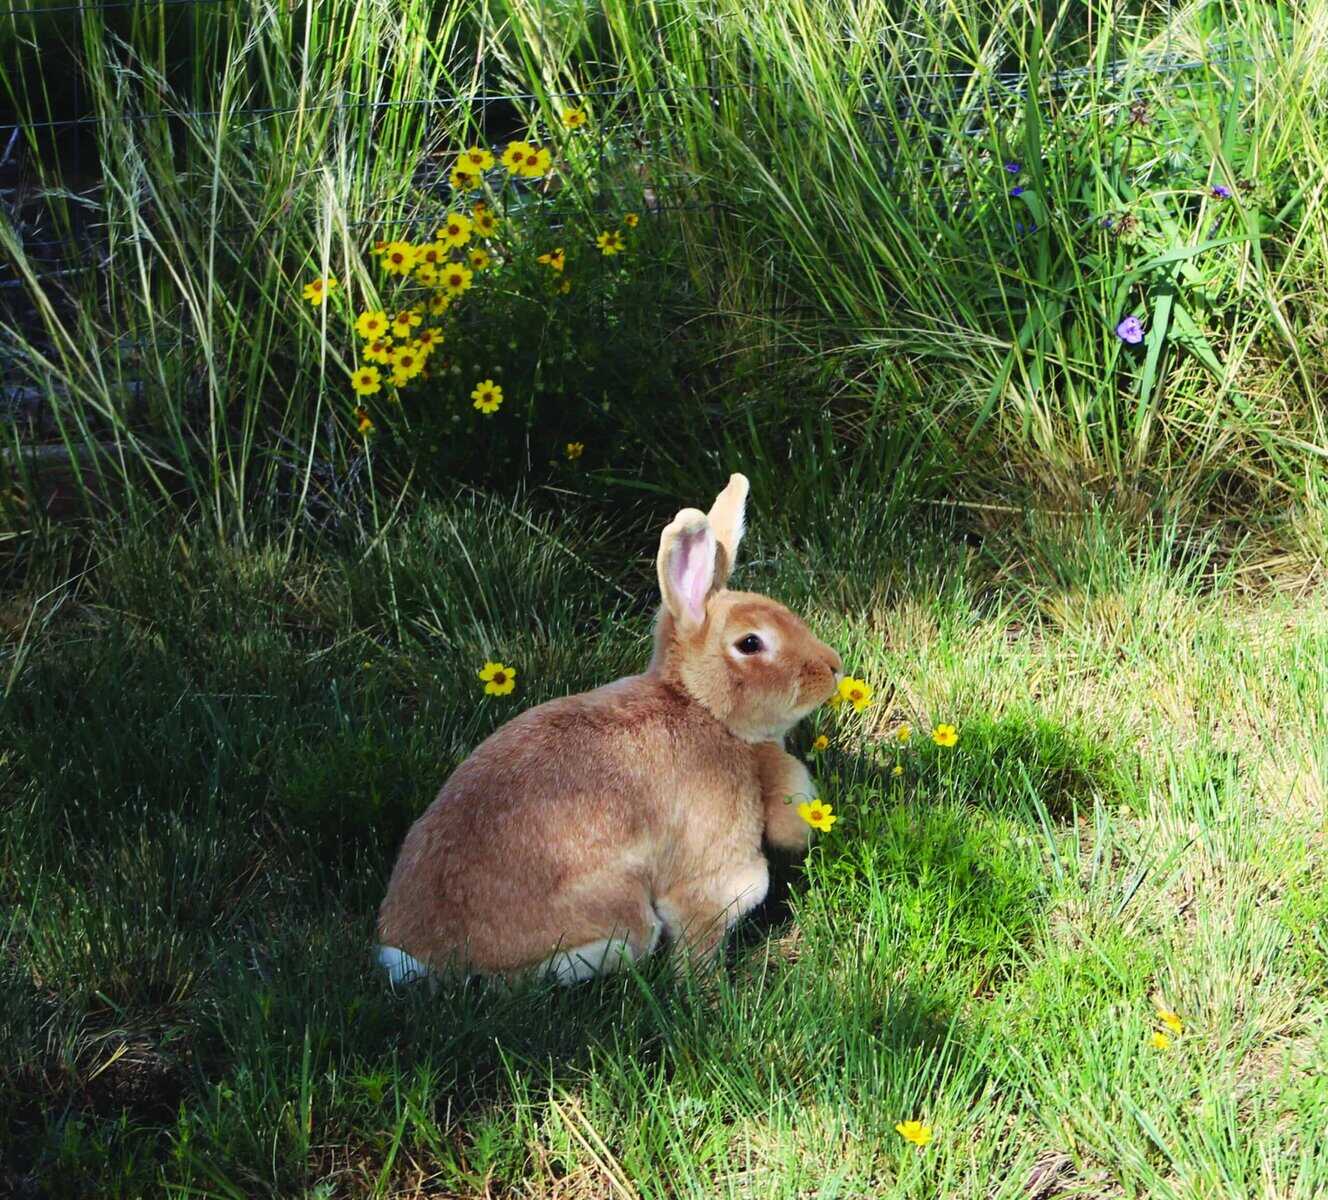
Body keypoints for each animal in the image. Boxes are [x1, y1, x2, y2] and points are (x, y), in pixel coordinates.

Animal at [376, 473, 843, 986]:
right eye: (750, 643)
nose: (833, 667)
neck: (701, 709)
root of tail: (413, 955)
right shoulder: (711, 876)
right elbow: (702, 927)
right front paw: (707, 989)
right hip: (619, 913)